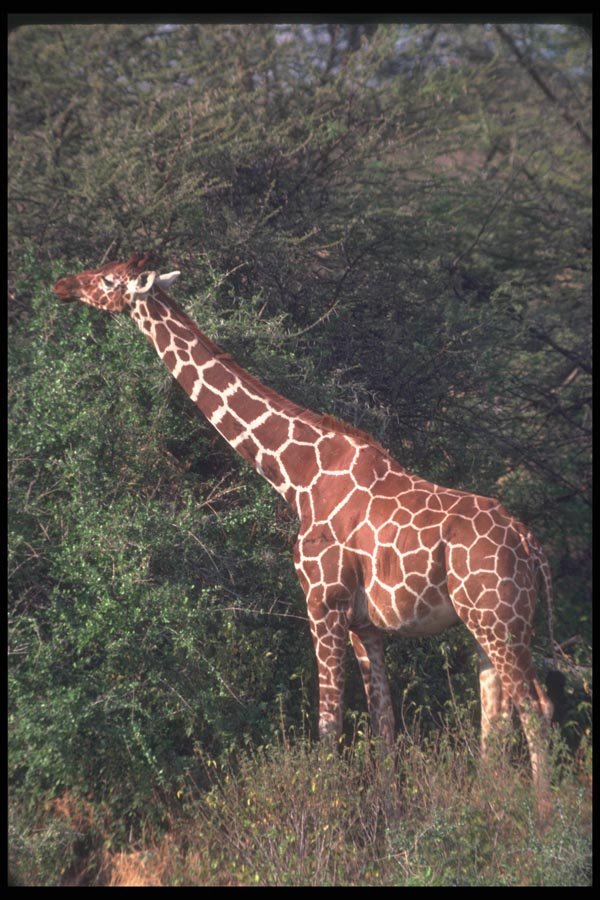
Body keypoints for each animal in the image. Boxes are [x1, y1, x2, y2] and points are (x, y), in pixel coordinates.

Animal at [54, 253, 555, 814]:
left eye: (107, 279)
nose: (62, 285)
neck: (297, 476)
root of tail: (532, 546)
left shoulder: (323, 604)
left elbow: (328, 724)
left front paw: (327, 813)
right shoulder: (365, 624)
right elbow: (383, 722)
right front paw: (389, 809)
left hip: (498, 617)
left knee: (535, 705)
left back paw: (543, 814)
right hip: (484, 620)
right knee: (498, 699)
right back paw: (490, 801)